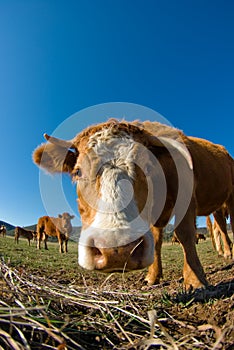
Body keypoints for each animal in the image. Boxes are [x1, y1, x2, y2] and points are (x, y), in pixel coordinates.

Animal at [32, 120, 234, 290]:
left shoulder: (185, 197)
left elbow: (185, 235)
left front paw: (195, 280)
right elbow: (156, 240)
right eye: (78, 172)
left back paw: (228, 253)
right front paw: (153, 277)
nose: (118, 251)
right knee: (221, 226)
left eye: (149, 167)